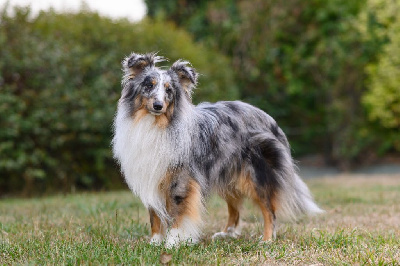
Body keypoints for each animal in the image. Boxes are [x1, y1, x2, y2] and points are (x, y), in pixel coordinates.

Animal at [111, 52, 324, 247]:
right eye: (149, 85)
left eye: (169, 90)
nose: (158, 105)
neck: (156, 124)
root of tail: (268, 118)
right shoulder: (151, 175)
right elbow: (154, 215)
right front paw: (155, 243)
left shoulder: (182, 180)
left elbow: (179, 214)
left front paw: (172, 243)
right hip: (228, 176)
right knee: (235, 208)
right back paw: (227, 234)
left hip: (257, 175)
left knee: (268, 209)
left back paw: (267, 240)